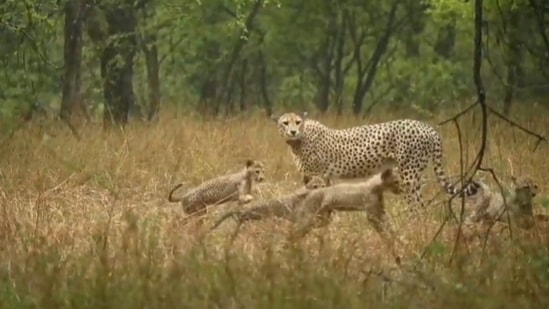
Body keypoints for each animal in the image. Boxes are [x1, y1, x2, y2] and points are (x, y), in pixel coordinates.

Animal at [270, 112, 480, 211]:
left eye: (297, 122)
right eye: (285, 123)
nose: (293, 131)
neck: (298, 141)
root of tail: (426, 126)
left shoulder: (318, 177)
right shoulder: (323, 177)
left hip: (408, 175)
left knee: (417, 205)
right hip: (416, 174)